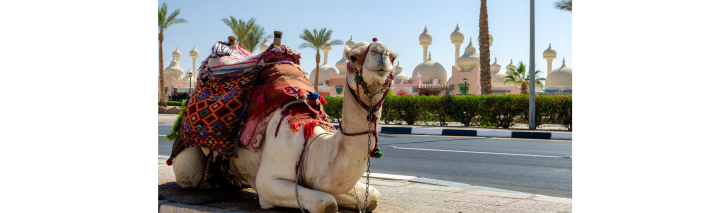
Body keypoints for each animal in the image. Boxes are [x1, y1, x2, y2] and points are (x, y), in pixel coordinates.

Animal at [173, 37, 400, 213]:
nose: (381, 52)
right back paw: (210, 182)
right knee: (188, 176)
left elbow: (371, 196)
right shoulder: (268, 182)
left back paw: (230, 181)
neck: (311, 146)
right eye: (353, 56)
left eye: (394, 57)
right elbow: (325, 202)